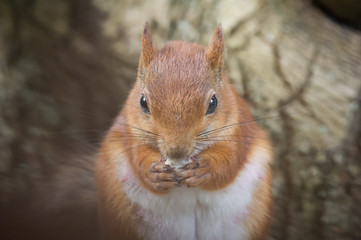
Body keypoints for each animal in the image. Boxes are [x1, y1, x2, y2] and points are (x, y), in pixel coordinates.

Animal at [94, 23, 272, 240]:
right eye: (143, 102)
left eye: (213, 102)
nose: (176, 152)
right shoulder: (129, 129)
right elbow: (136, 155)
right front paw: (153, 172)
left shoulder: (238, 130)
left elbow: (230, 161)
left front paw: (204, 168)